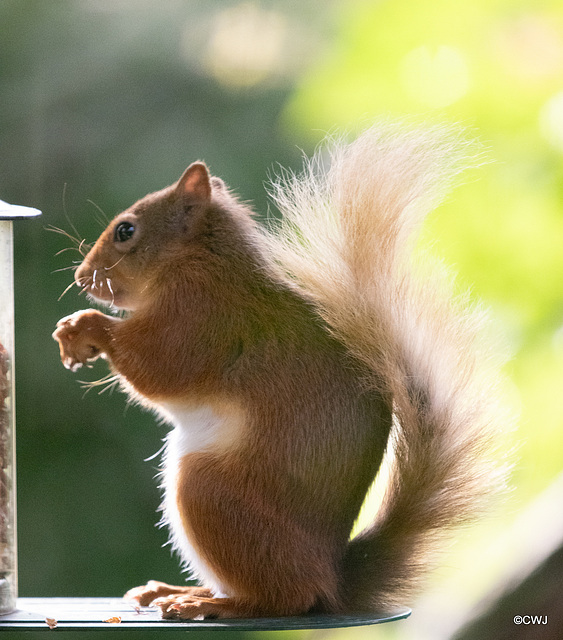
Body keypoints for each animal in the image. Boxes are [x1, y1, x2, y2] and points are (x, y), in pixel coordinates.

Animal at [53, 124, 508, 620]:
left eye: (126, 230)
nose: (80, 277)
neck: (200, 259)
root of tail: (332, 579)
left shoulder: (202, 316)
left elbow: (160, 369)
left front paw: (84, 327)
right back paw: (176, 591)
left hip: (212, 495)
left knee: (284, 598)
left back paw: (212, 604)